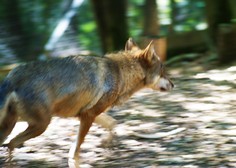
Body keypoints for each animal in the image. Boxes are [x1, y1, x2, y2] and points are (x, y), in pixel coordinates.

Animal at [0, 38, 173, 160]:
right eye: (163, 69)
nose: (173, 84)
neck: (121, 72)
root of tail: (12, 77)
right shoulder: (88, 116)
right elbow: (76, 149)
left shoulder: (86, 114)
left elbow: (112, 123)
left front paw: (106, 142)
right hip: (41, 126)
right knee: (12, 143)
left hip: (12, 127)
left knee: (10, 143)